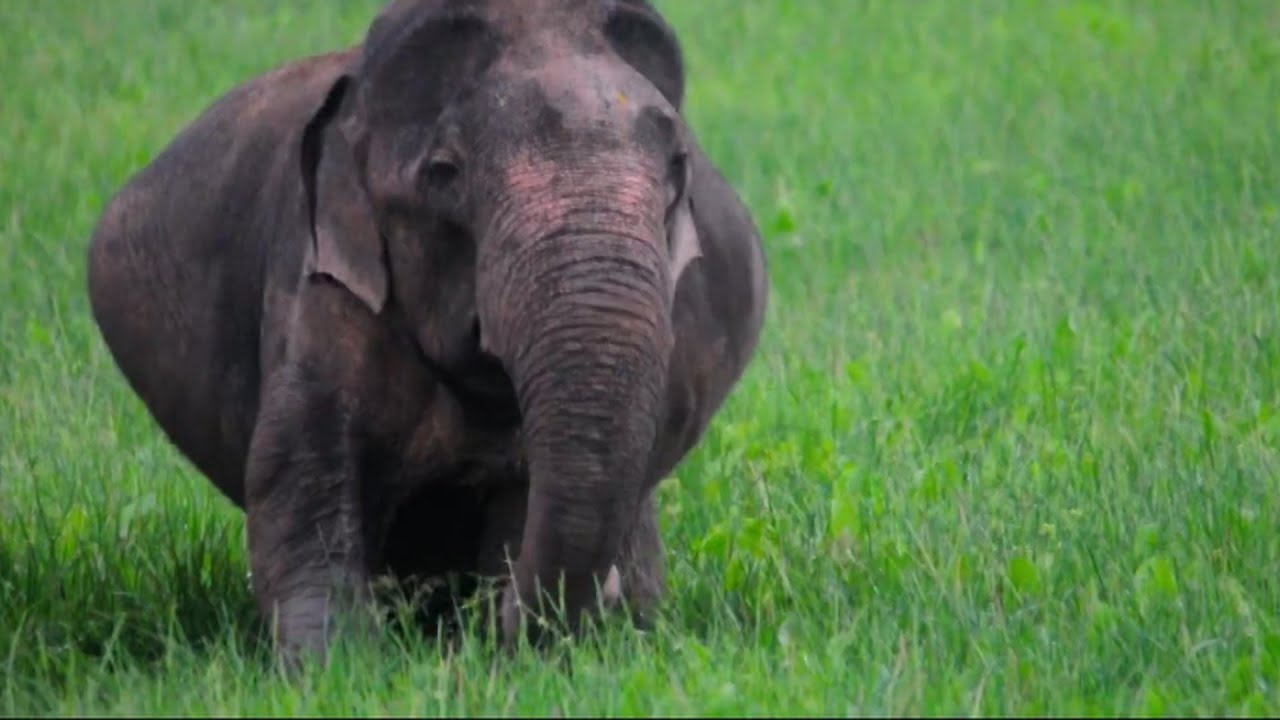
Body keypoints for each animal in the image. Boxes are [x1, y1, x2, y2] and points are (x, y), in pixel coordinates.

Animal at [86, 0, 767, 663]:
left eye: (678, 168)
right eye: (444, 172)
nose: (606, 603)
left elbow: (522, 493)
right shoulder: (317, 287)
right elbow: (296, 471)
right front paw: (333, 669)